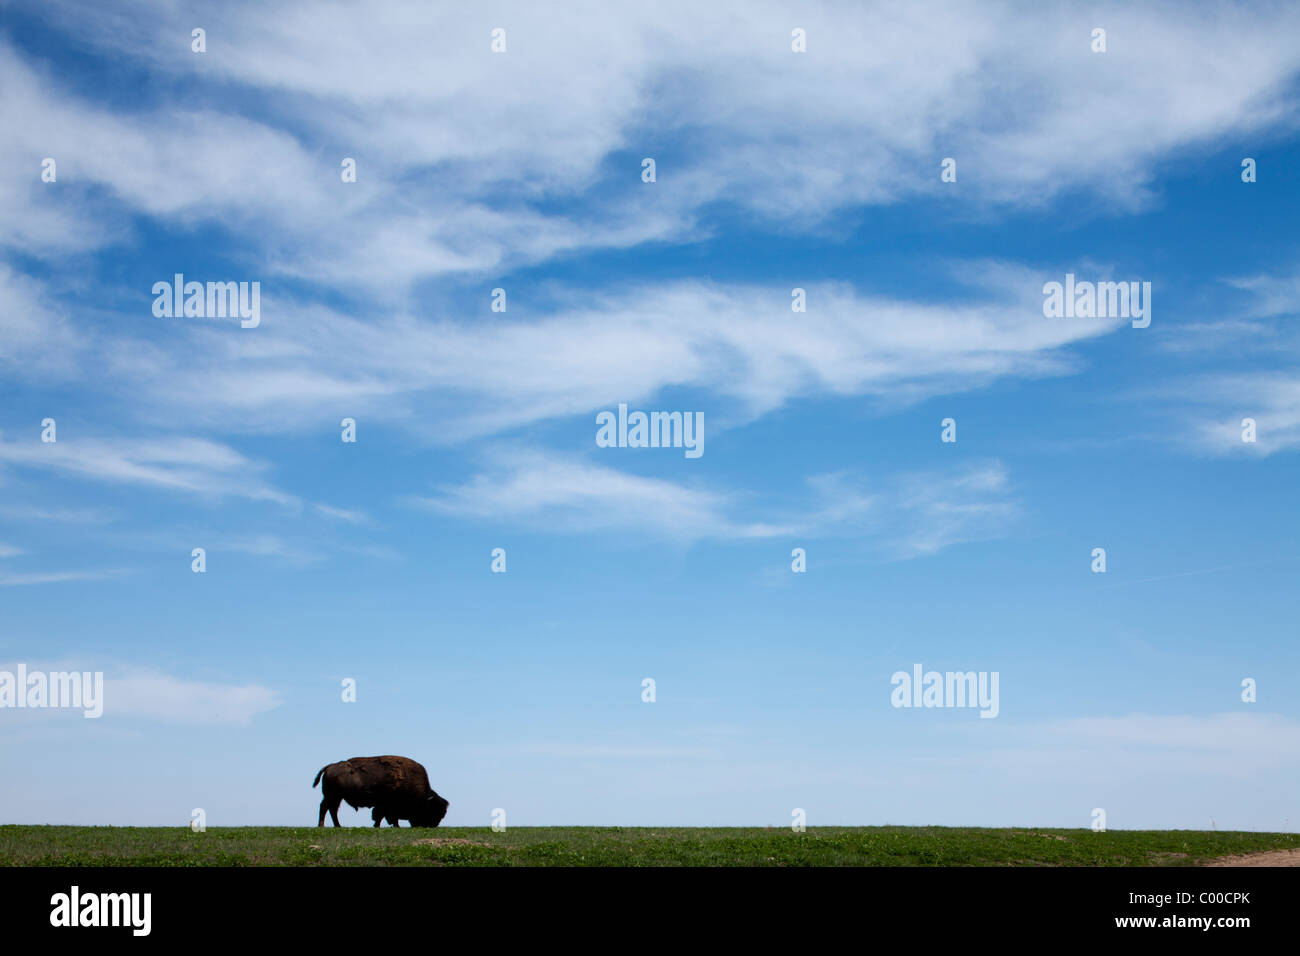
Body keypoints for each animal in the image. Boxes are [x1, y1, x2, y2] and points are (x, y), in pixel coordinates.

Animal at [314, 759, 452, 827]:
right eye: (432, 810)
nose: (432, 825)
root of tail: (329, 767)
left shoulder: (384, 807)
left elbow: (381, 816)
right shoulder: (387, 806)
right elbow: (383, 816)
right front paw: (390, 826)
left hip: (336, 797)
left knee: (331, 809)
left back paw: (337, 826)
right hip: (333, 796)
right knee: (326, 808)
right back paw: (324, 826)